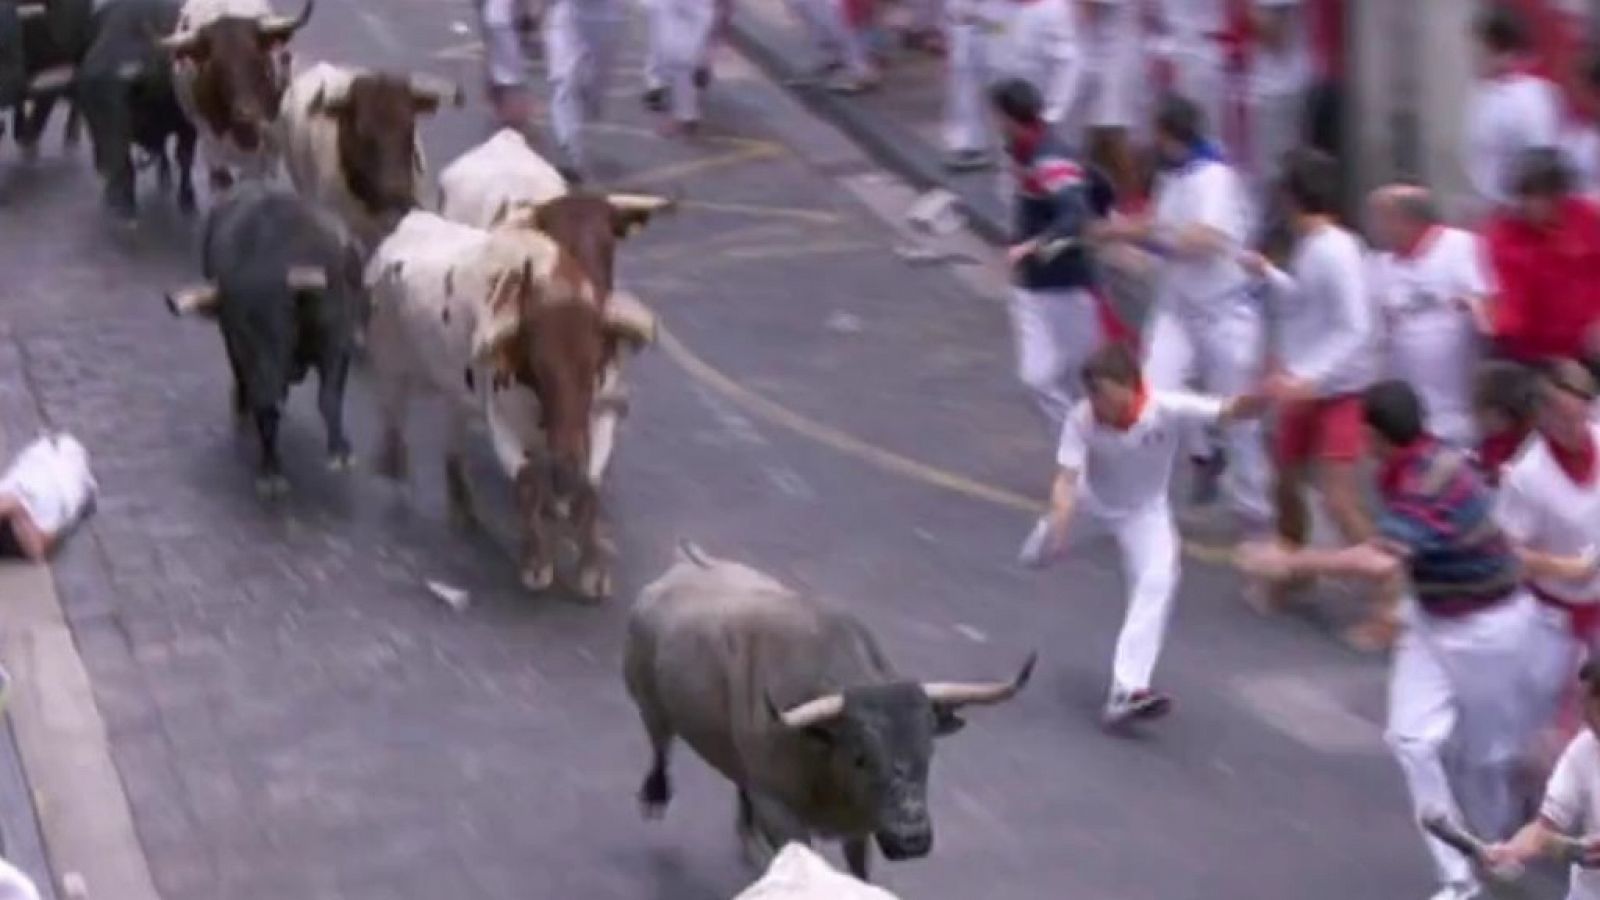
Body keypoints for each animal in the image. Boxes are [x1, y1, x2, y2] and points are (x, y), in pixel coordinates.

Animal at [162, 180, 363, 490]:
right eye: (238, 332)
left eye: (279, 328)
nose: (264, 394)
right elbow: (266, 413)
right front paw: (270, 471)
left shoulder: (338, 341)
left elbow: (329, 397)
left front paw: (340, 452)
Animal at [368, 206, 656, 592]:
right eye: (538, 364)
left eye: (593, 364)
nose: (565, 465)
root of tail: (411, 219)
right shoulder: (502, 421)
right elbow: (528, 482)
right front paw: (536, 563)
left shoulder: (599, 415)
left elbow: (589, 487)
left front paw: (592, 569)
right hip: (391, 368)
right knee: (394, 422)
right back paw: (394, 481)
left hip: (455, 388)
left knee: (453, 434)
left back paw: (463, 504)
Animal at [624, 544, 1036, 877]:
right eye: (861, 757)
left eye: (929, 750)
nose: (911, 840)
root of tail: (682, 568)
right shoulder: (781, 812)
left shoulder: (859, 827)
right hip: (649, 703)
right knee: (660, 744)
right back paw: (656, 794)